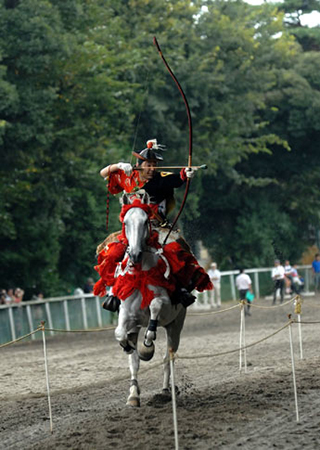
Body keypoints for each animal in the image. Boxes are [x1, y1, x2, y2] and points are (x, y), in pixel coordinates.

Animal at [114, 192, 186, 408]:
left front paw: (147, 347)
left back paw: (166, 390)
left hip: (175, 324)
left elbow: (155, 306)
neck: (142, 275)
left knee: (168, 356)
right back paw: (133, 395)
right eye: (126, 222)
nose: (135, 254)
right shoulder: (127, 316)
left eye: (145, 221)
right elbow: (121, 335)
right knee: (135, 362)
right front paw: (129, 346)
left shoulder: (164, 304)